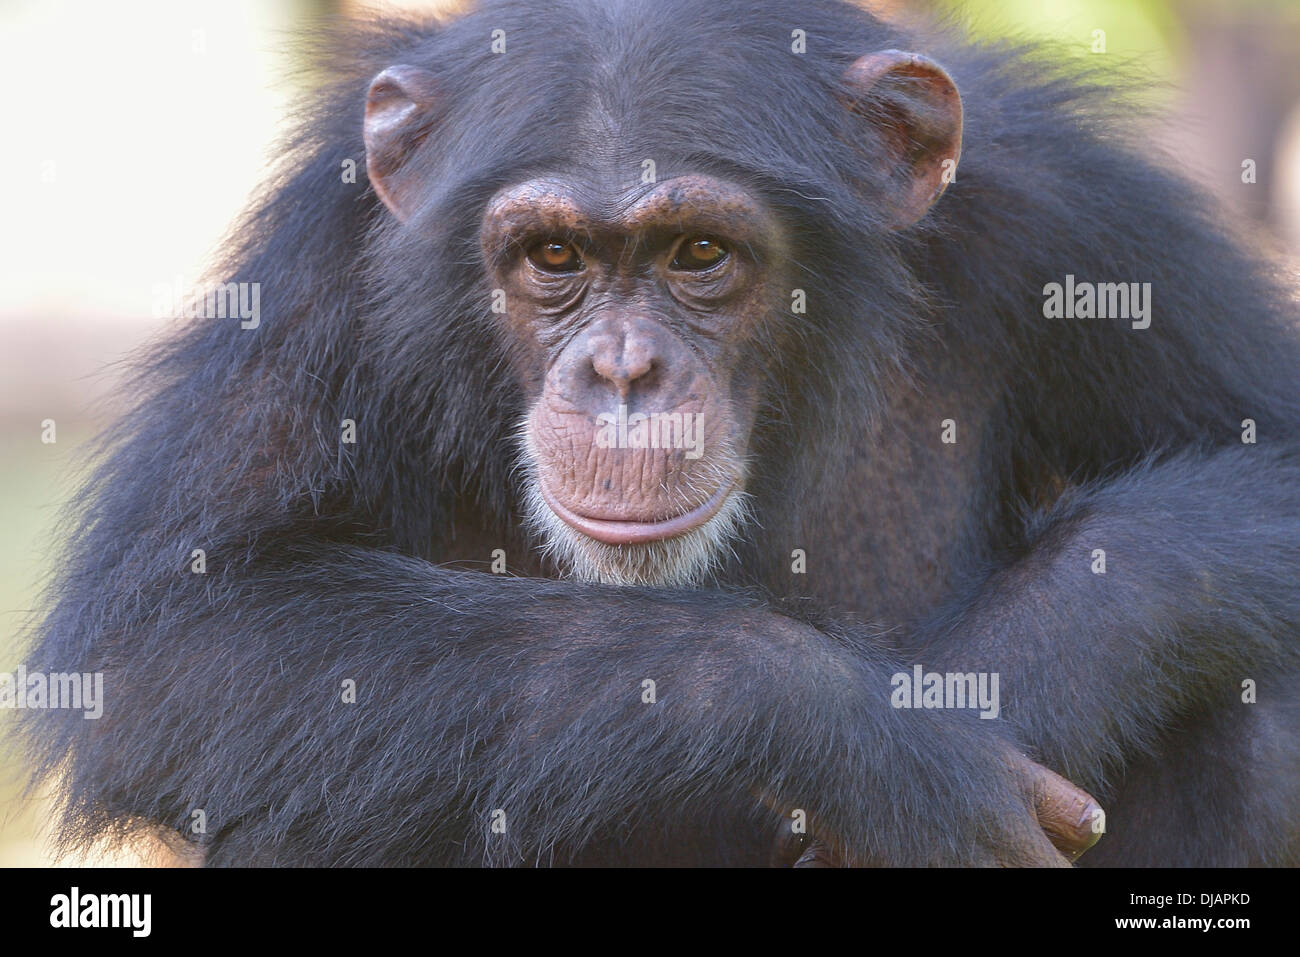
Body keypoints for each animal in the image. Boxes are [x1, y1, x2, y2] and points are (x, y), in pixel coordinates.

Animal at [20, 0, 1300, 868]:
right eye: (553, 256)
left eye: (699, 254)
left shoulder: (1077, 211)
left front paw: (1029, 664)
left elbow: (1264, 450)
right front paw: (882, 742)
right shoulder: (323, 262)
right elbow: (182, 634)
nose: (624, 371)